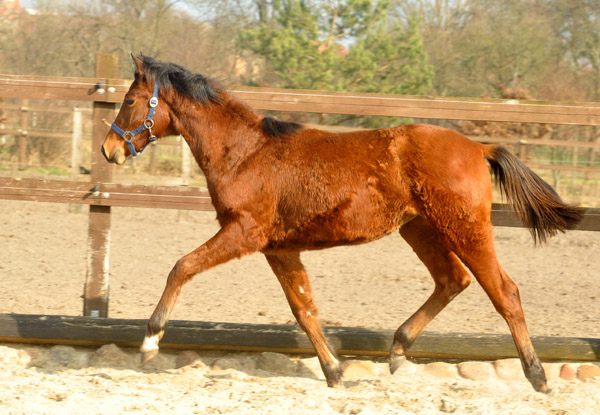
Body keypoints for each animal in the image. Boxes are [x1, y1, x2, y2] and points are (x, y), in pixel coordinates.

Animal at [101, 55, 584, 394]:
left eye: (129, 101)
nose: (109, 150)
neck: (245, 152)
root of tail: (478, 146)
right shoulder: (279, 247)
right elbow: (304, 308)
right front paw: (334, 371)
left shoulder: (243, 233)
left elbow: (181, 266)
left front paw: (150, 343)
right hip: (420, 229)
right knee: (453, 280)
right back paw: (398, 350)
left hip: (465, 228)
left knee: (504, 291)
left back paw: (537, 376)